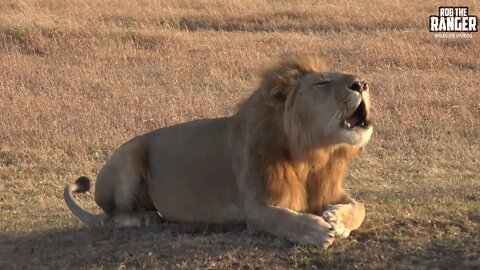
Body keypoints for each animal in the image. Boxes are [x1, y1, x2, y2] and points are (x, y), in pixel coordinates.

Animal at [63, 53, 374, 248]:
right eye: (321, 82)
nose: (362, 83)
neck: (312, 156)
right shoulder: (255, 207)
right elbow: (282, 218)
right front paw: (314, 230)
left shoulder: (329, 188)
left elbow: (361, 206)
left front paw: (338, 219)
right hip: (127, 155)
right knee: (115, 216)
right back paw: (145, 217)